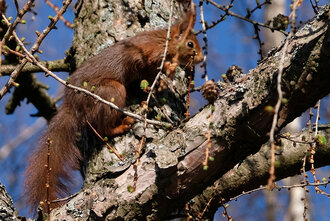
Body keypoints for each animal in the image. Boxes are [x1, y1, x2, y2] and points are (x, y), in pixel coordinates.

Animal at [23, 2, 202, 215]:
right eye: (190, 44)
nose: (201, 58)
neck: (164, 40)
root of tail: (72, 104)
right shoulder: (149, 53)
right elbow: (148, 63)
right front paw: (169, 70)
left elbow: (149, 77)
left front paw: (159, 84)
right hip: (111, 91)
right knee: (103, 128)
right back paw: (122, 124)